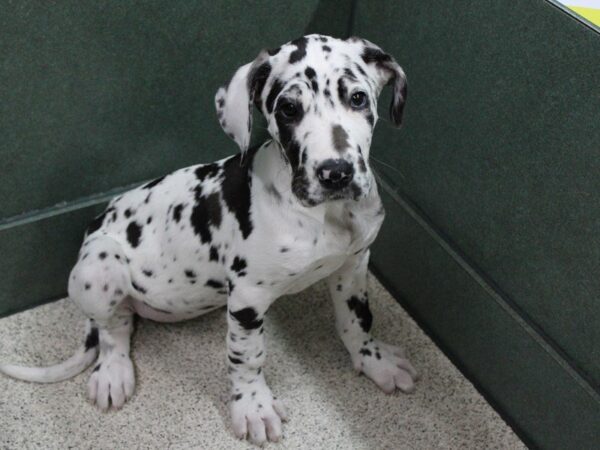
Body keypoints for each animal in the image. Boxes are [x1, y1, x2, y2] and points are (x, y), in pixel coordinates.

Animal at [1, 34, 418, 442]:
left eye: (358, 98)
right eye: (287, 109)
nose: (336, 173)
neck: (326, 215)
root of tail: (96, 222)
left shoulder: (354, 264)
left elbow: (356, 318)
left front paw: (372, 359)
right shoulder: (248, 298)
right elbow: (247, 356)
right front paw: (253, 406)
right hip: (99, 266)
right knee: (111, 328)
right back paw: (113, 372)